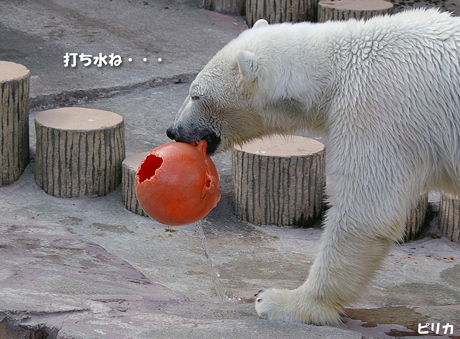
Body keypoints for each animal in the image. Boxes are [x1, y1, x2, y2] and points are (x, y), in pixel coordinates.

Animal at [167, 9, 460, 326]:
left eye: (197, 95)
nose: (173, 130)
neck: (338, 69)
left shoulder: (378, 114)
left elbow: (364, 211)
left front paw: (280, 301)